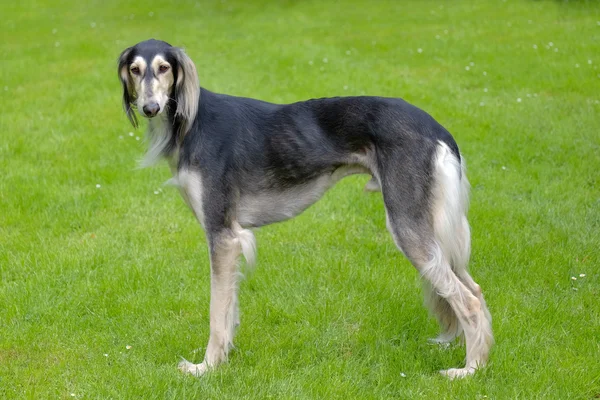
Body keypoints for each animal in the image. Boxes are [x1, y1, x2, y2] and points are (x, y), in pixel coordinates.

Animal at [116, 39, 492, 380]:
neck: (193, 123)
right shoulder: (231, 239)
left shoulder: (222, 234)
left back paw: (469, 370)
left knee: (469, 301)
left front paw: (206, 368)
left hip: (408, 224)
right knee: (474, 289)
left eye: (164, 68)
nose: (150, 107)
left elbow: (216, 311)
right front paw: (225, 359)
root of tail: (437, 127)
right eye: (134, 69)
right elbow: (229, 308)